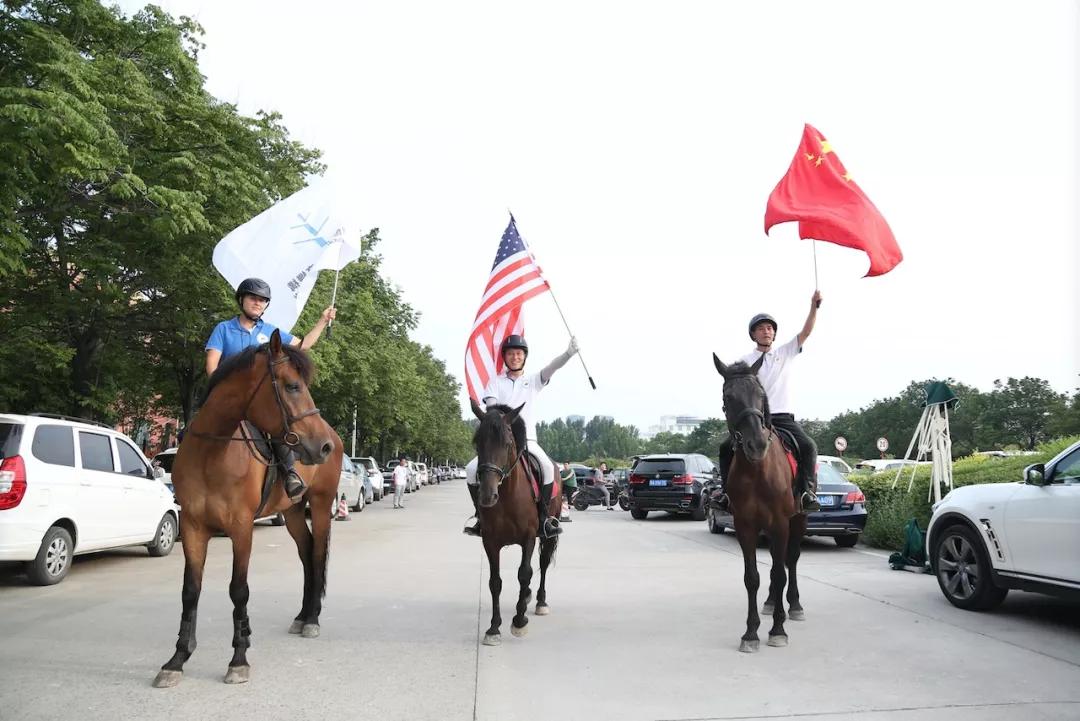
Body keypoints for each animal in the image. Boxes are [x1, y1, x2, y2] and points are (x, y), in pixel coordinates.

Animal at [152, 332, 341, 686]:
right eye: (292, 385)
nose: (322, 446)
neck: (212, 452)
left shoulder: (241, 528)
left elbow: (239, 590)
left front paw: (238, 658)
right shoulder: (193, 528)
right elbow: (190, 591)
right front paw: (177, 659)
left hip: (322, 504)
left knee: (318, 553)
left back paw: (313, 620)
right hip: (293, 512)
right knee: (306, 553)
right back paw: (302, 616)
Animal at [468, 399, 561, 647]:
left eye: (507, 443)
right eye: (476, 442)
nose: (487, 495)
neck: (507, 496)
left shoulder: (528, 538)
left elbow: (524, 573)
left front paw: (519, 621)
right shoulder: (490, 542)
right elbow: (495, 582)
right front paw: (493, 628)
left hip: (549, 533)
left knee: (543, 563)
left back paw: (540, 602)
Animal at [712, 354, 807, 651]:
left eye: (760, 394)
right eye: (728, 397)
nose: (757, 444)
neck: (757, 471)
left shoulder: (781, 524)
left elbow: (779, 574)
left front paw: (778, 630)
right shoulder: (745, 525)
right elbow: (752, 577)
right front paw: (751, 632)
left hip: (799, 519)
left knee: (791, 560)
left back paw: (794, 606)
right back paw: (769, 603)